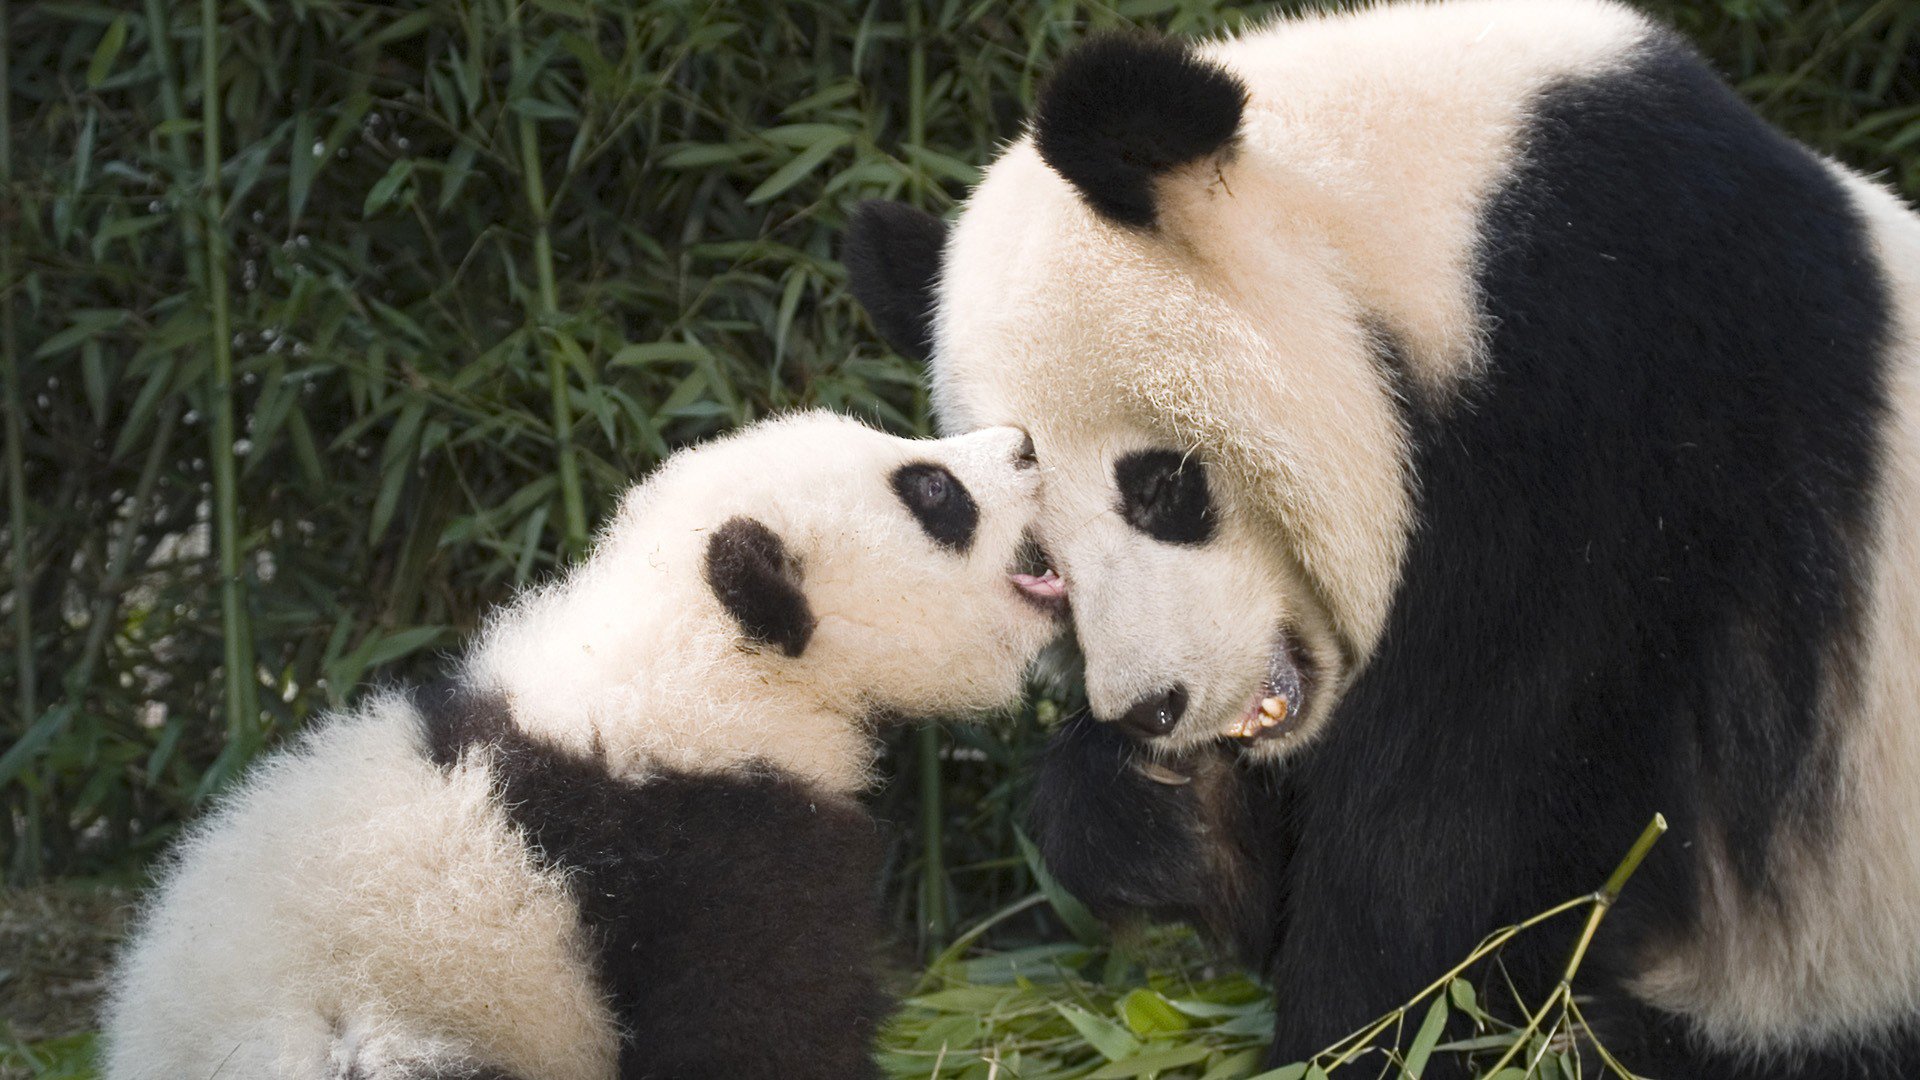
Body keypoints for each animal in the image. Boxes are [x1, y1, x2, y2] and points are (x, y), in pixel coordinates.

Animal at [100, 411, 1068, 1080]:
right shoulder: (710, 851)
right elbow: (754, 1028)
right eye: (932, 491)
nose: (1026, 442)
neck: (699, 663)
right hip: (348, 1035)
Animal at [843, 2, 1920, 1077]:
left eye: (1159, 487)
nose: (1152, 706)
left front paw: (1362, 1035)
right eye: (1044, 563)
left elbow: (1466, 838)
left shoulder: (1618, 443)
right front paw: (1153, 815)